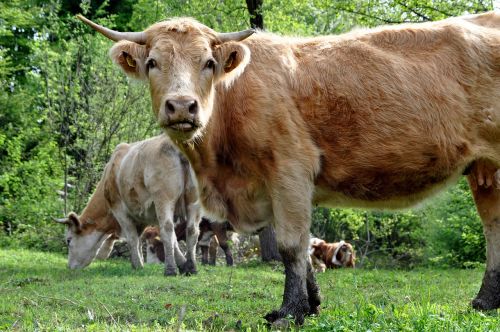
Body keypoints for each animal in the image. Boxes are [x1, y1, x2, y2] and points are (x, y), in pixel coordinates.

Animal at [55, 134, 200, 274]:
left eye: (68, 240)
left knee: (167, 230)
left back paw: (170, 270)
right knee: (192, 230)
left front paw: (137, 265)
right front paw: (183, 264)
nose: (69, 267)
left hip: (163, 199)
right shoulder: (143, 216)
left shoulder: (119, 210)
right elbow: (156, 239)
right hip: (193, 200)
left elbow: (132, 238)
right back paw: (192, 267)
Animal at [76, 12, 500, 324]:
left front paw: (290, 311)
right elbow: (300, 244)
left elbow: (291, 244)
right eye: (152, 63)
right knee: (494, 225)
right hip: (486, 170)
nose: (182, 106)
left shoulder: (289, 171)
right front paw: (311, 303)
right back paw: (486, 301)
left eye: (209, 62)